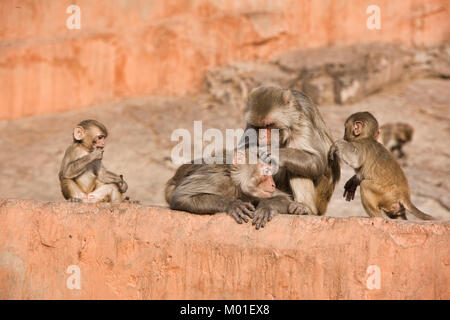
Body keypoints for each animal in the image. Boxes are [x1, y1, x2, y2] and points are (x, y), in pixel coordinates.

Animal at [241, 86, 340, 229]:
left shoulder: (301, 122)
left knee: (298, 169)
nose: (262, 137)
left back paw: (304, 207)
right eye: (259, 127)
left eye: (269, 125)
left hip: (321, 197)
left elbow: (317, 162)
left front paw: (275, 153)